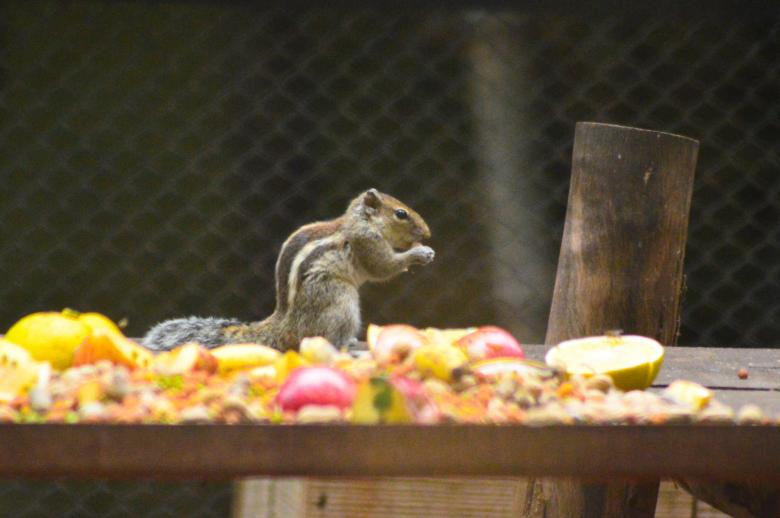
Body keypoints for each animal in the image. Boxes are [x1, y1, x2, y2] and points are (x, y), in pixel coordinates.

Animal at [142, 189, 434, 352]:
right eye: (401, 214)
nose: (428, 234)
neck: (360, 221)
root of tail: (285, 325)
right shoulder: (367, 243)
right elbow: (383, 267)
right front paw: (420, 254)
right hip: (340, 299)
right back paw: (346, 342)